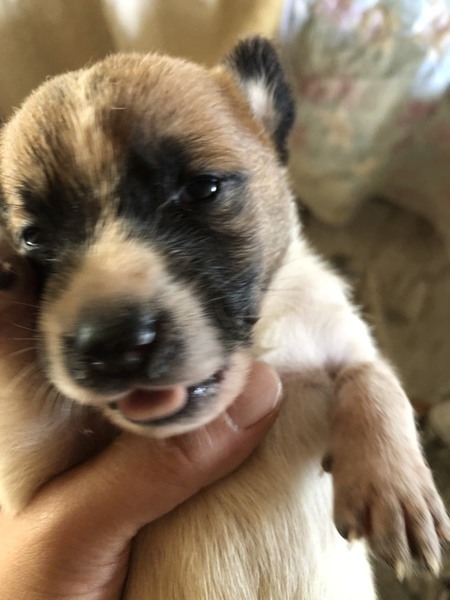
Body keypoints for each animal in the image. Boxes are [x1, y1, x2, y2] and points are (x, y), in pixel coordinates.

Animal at [0, 37, 448, 599]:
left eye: (203, 189)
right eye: (32, 236)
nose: (112, 344)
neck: (261, 351)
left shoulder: (339, 331)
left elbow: (376, 376)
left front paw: (397, 488)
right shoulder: (36, 479)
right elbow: (27, 411)